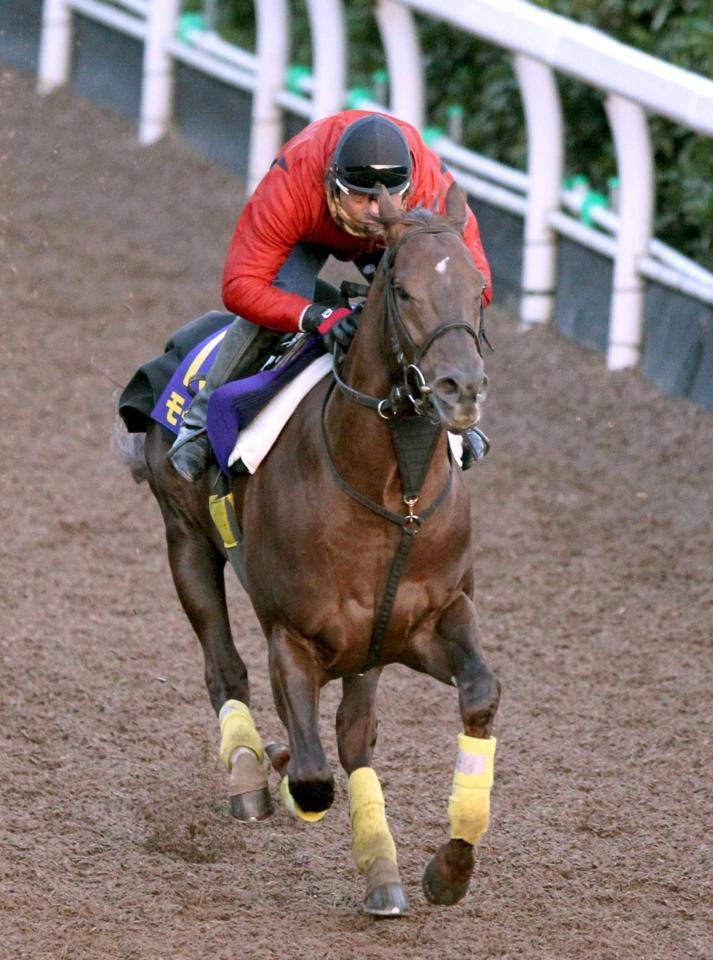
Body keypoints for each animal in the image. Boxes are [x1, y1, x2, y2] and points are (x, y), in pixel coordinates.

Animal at [124, 182, 500, 916]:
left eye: (478, 289)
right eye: (403, 291)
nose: (460, 389)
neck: (394, 495)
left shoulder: (425, 621)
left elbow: (476, 694)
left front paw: (448, 867)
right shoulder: (293, 638)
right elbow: (312, 776)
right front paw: (278, 768)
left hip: (368, 647)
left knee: (354, 734)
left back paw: (378, 867)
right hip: (185, 537)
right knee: (225, 669)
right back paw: (249, 770)